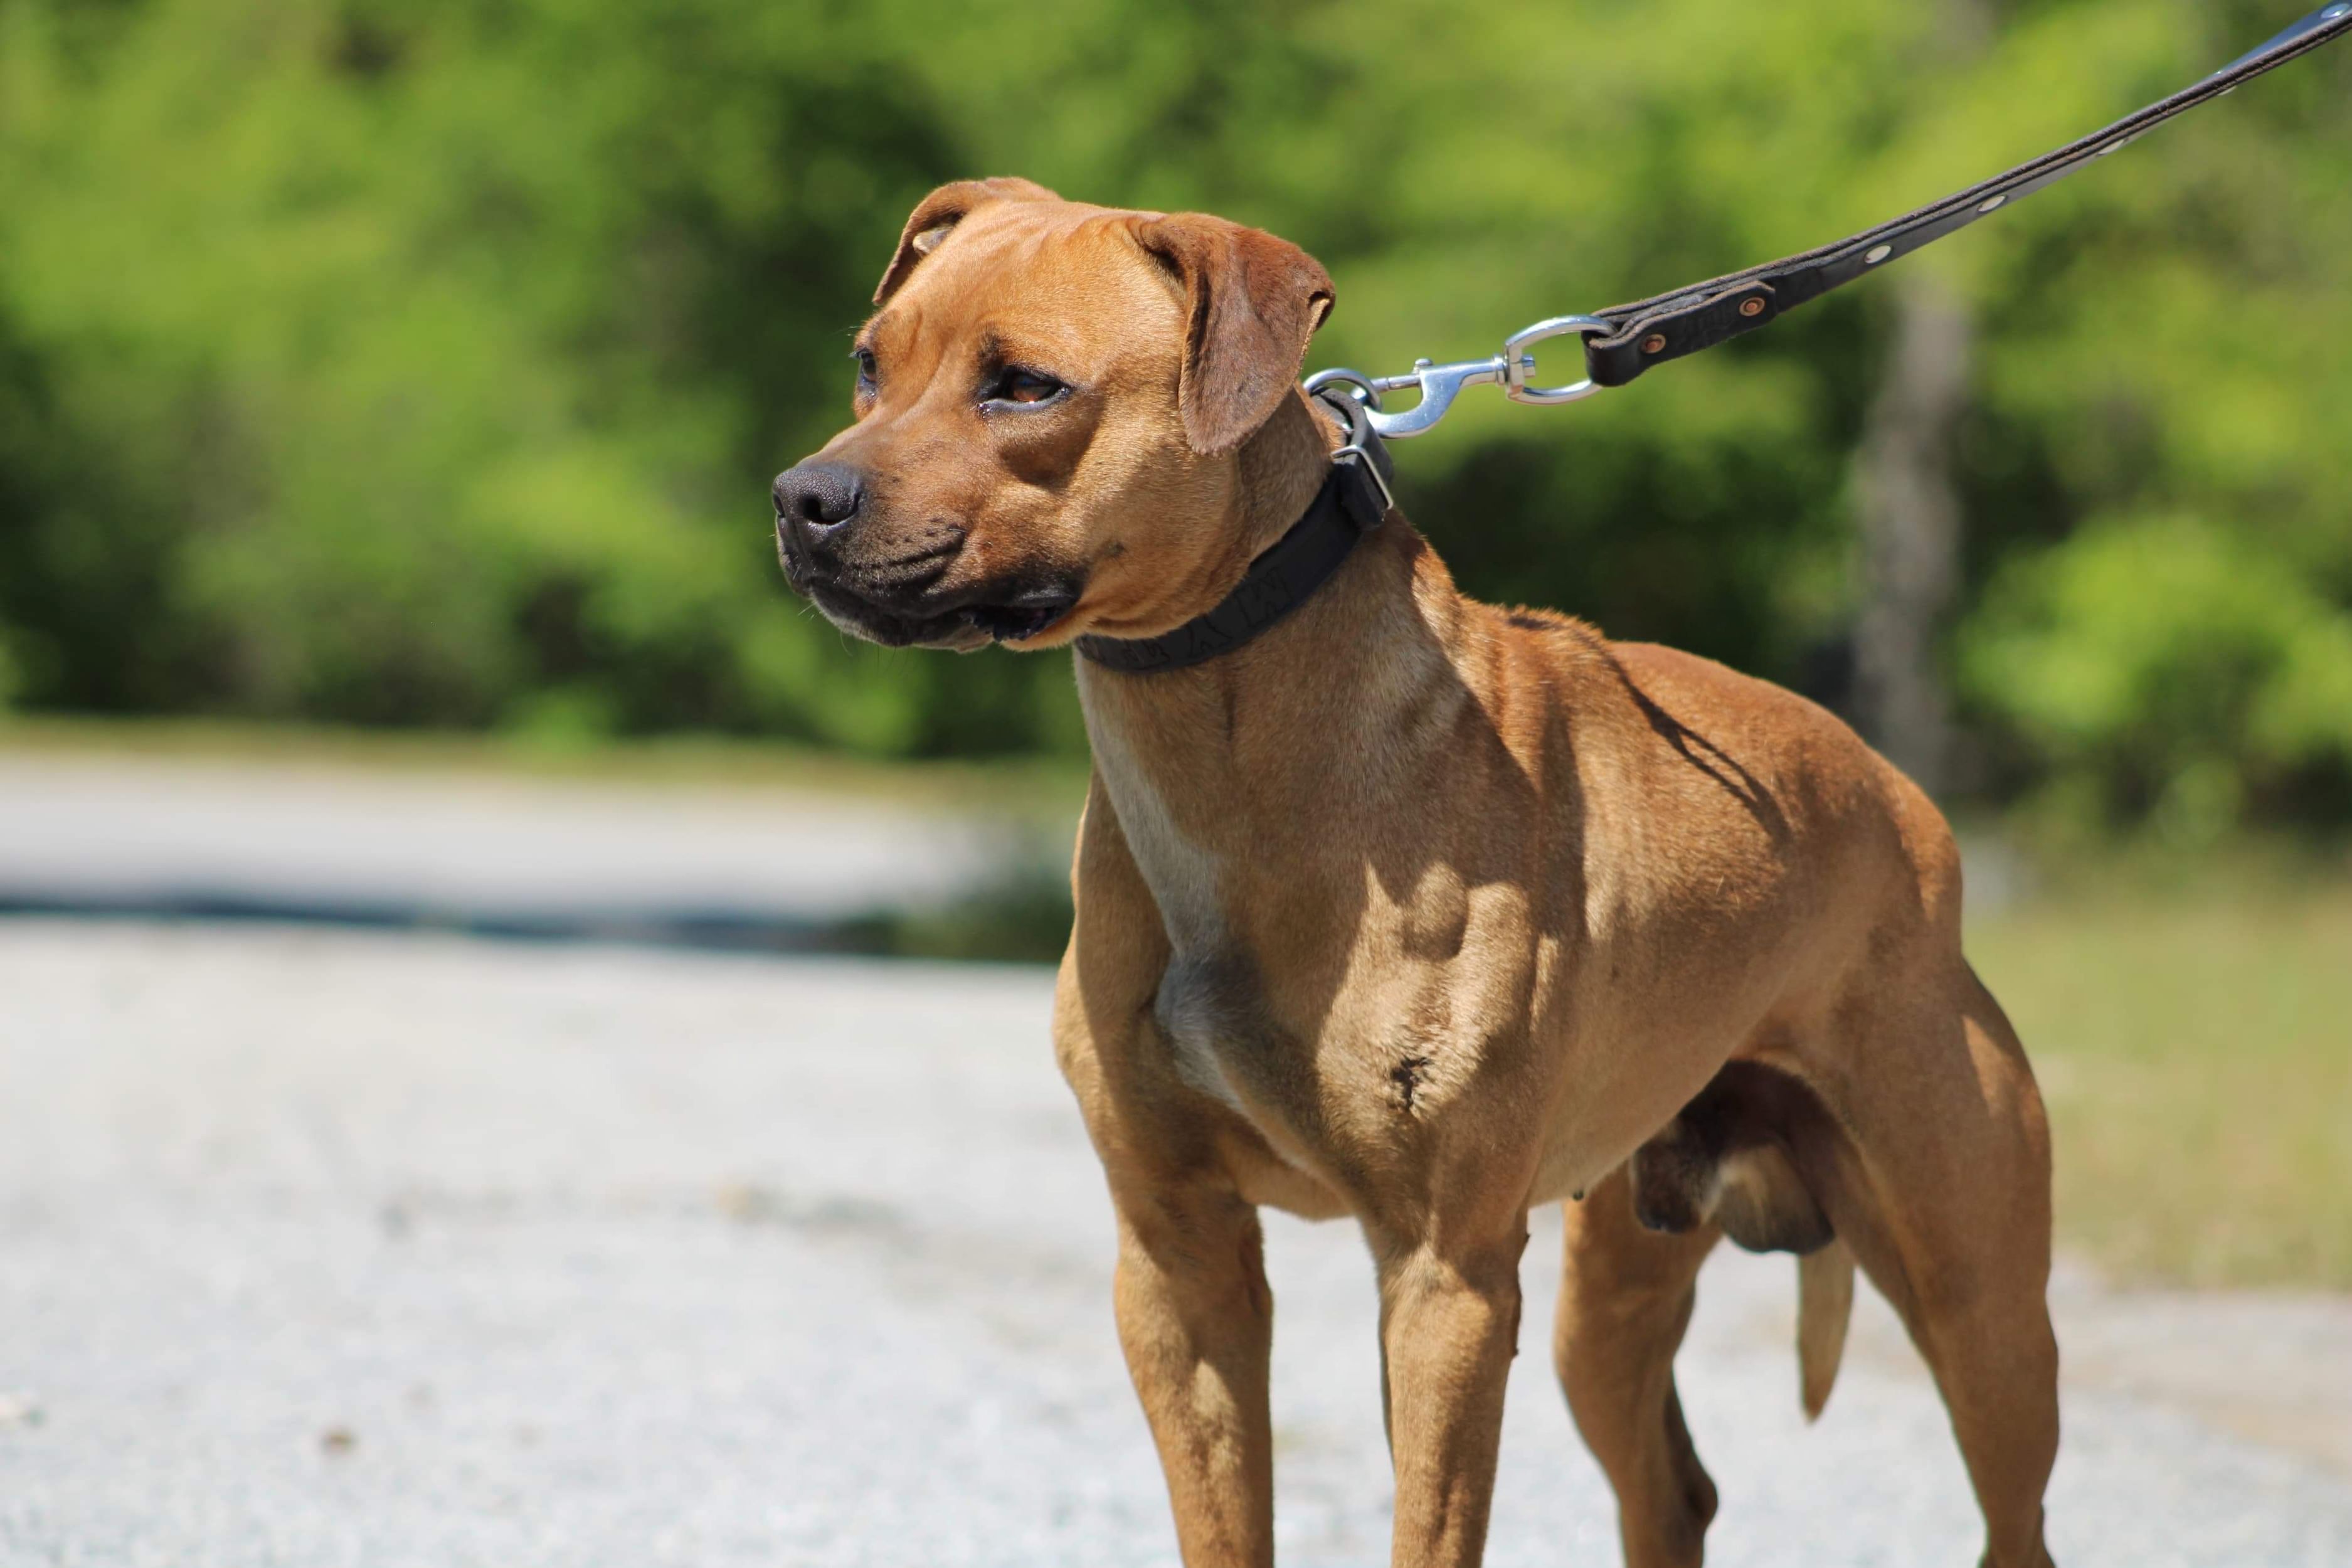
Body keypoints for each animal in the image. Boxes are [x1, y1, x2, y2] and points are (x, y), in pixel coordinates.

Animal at [776, 177, 2060, 1560]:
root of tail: (1907, 806)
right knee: (1673, 1490)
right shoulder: (1175, 1257)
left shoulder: (1445, 1275)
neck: (1227, 724)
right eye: (870, 364)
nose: (801, 498)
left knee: (2012, 1510)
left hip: (1976, 1295)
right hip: (1608, 1291)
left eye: (1024, 386)